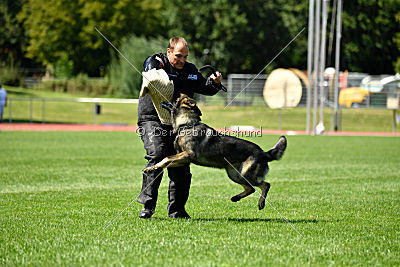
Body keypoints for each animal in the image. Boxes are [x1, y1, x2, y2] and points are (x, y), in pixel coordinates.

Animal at [144, 95, 288, 210]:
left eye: (174, 99)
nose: (162, 100)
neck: (187, 124)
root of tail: (263, 152)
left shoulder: (189, 155)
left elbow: (167, 158)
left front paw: (153, 168)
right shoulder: (184, 159)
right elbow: (165, 160)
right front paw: (153, 168)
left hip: (245, 174)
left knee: (265, 185)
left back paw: (261, 203)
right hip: (234, 175)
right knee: (251, 188)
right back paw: (236, 198)